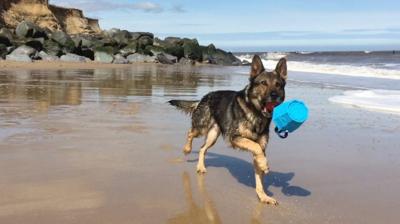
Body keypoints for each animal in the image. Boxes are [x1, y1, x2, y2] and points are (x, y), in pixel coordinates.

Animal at [169, 54, 288, 205]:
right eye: (263, 83)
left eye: (278, 85)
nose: (274, 95)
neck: (255, 113)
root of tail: (204, 97)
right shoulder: (235, 138)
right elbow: (255, 147)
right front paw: (264, 164)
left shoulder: (260, 147)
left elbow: (259, 169)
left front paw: (263, 196)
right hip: (201, 127)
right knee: (190, 133)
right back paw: (187, 149)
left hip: (213, 135)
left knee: (202, 148)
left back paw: (200, 166)